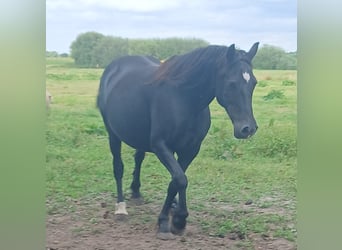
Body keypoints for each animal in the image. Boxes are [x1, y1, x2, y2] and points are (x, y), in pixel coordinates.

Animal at [97, 42, 260, 239]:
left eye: (253, 83)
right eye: (231, 83)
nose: (248, 129)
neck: (183, 98)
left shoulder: (190, 150)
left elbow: (175, 181)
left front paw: (175, 217)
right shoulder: (160, 146)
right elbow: (180, 180)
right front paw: (172, 221)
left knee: (139, 158)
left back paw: (137, 192)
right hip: (113, 134)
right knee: (118, 167)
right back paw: (121, 208)